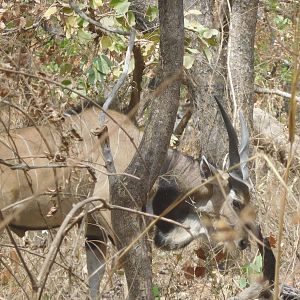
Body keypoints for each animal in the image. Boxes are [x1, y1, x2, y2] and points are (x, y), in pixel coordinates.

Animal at [0, 97, 251, 298]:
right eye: (236, 202)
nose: (244, 242)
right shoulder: (108, 210)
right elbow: (133, 266)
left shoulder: (93, 229)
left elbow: (95, 278)